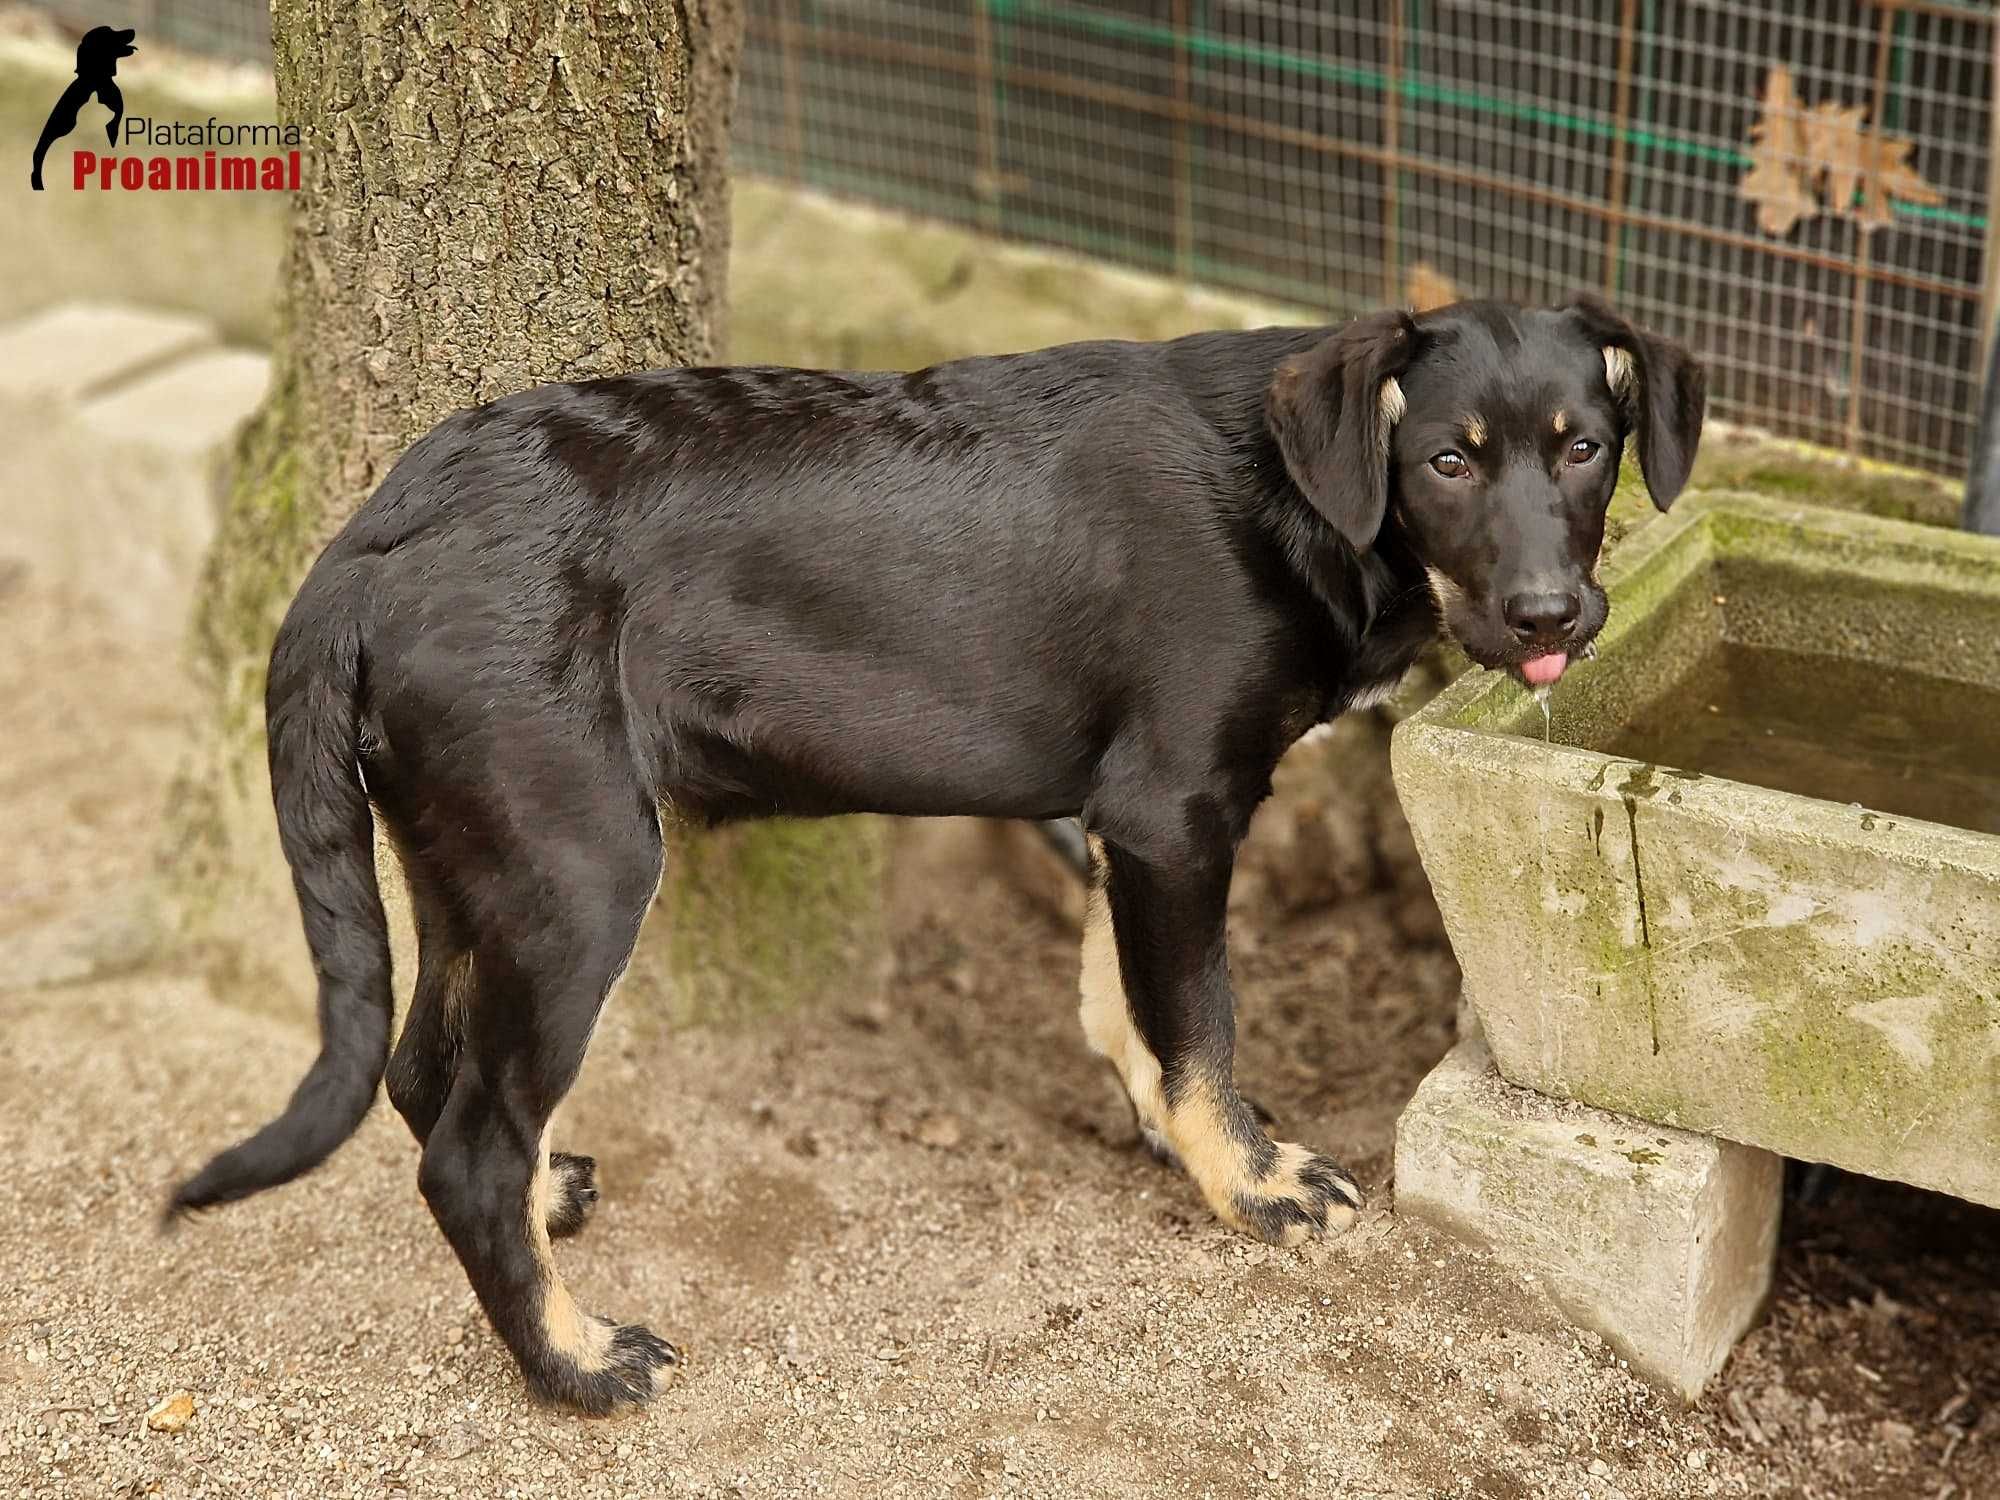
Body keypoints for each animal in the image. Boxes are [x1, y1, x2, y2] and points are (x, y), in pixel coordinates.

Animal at [172, 296, 1704, 1424]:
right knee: (467, 1154)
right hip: (580, 870)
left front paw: (1169, 1127)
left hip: (470, 856)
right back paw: (576, 1363)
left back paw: (553, 1208)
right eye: (1447, 460)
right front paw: (1249, 1183)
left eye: (1585, 448)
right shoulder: (1172, 805)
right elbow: (1199, 1016)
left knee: (425, 1071)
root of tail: (369, 540)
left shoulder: (1122, 814)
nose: (1550, 613)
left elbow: (1126, 996)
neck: (1294, 494)